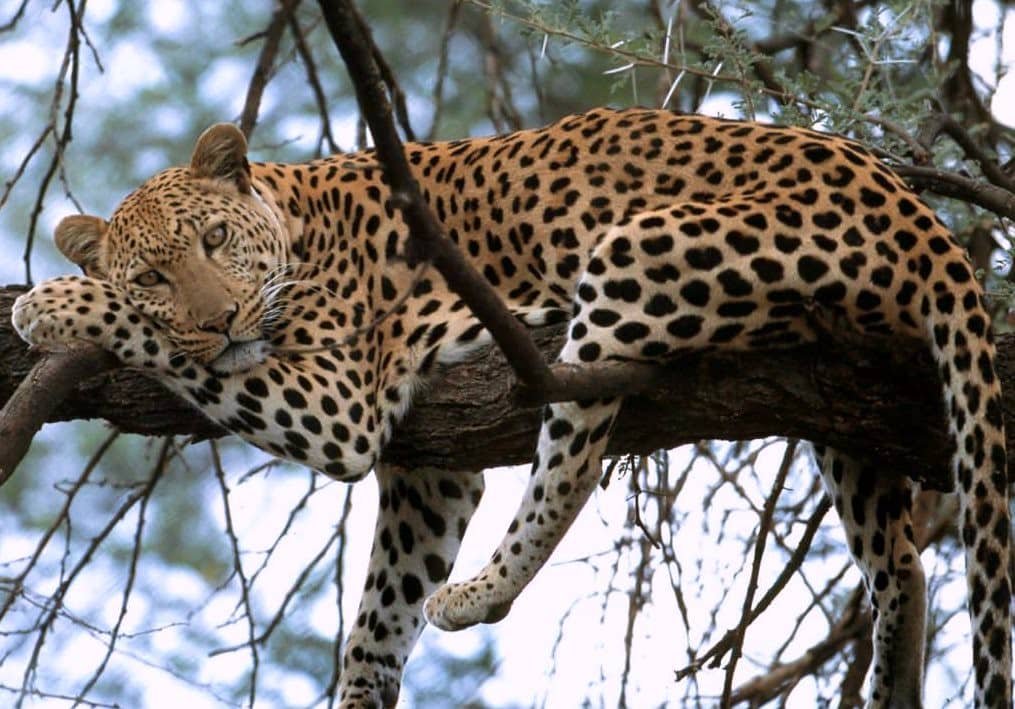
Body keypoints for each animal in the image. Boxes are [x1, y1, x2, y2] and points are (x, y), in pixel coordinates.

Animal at [11, 107, 1012, 708]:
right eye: (153, 273)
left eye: (215, 239)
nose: (218, 321)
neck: (295, 219)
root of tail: (915, 208)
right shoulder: (429, 468)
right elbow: (378, 613)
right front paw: (363, 691)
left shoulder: (338, 401)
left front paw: (54, 303)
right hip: (844, 408)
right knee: (902, 565)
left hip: (632, 255)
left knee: (571, 461)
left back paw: (480, 592)